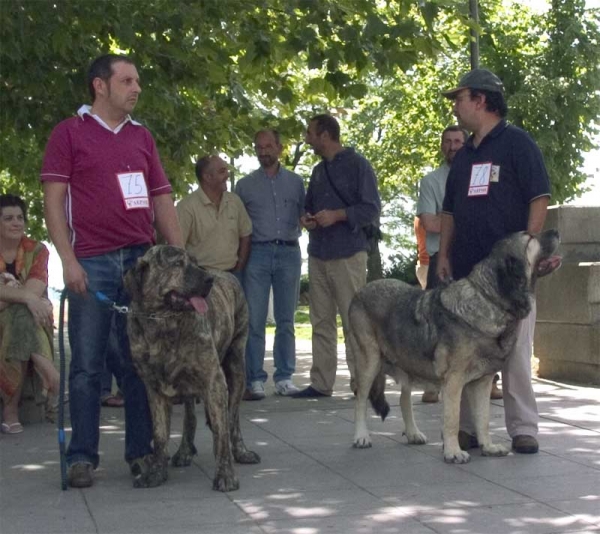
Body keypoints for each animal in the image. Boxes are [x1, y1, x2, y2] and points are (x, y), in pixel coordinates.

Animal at [124, 245, 260, 492]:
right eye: (177, 264)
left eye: (196, 263)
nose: (209, 280)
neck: (163, 322)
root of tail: (227, 274)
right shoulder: (154, 389)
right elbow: (160, 435)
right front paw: (156, 473)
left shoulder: (214, 380)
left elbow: (222, 429)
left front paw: (225, 475)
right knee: (191, 417)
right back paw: (185, 451)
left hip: (236, 368)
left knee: (232, 418)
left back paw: (240, 451)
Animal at [350, 230, 560, 464]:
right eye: (530, 238)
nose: (555, 232)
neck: (489, 300)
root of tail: (362, 290)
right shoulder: (454, 381)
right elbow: (453, 419)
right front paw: (453, 451)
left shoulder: (482, 382)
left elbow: (483, 419)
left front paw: (488, 447)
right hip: (369, 362)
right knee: (360, 400)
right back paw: (361, 436)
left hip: (407, 364)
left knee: (404, 400)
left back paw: (413, 433)